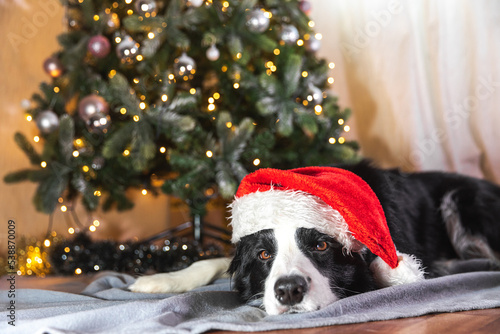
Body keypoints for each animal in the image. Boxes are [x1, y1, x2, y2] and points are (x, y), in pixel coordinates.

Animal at [130, 162, 500, 316]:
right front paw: (160, 279)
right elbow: (217, 261)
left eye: (321, 245)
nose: (289, 291)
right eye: (264, 255)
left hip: (462, 199)